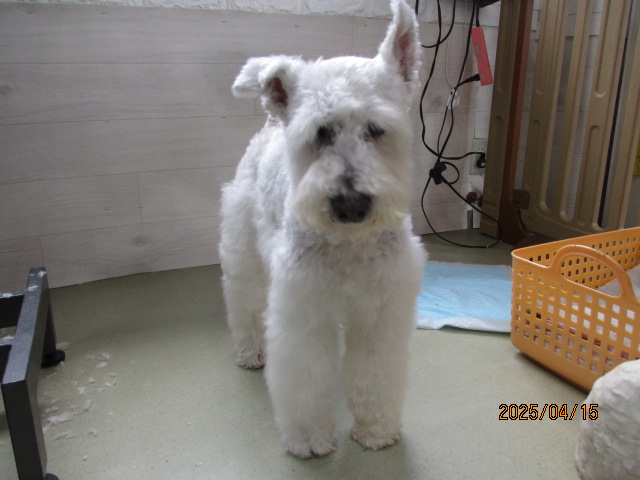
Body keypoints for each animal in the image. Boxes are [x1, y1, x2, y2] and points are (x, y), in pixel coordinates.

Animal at [219, 0, 425, 459]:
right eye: (320, 131)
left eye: (376, 128)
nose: (350, 203)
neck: (350, 244)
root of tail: (270, 123)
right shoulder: (305, 311)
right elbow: (306, 379)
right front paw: (310, 438)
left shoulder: (380, 313)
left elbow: (373, 374)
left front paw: (374, 428)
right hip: (244, 256)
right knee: (243, 305)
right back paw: (250, 350)